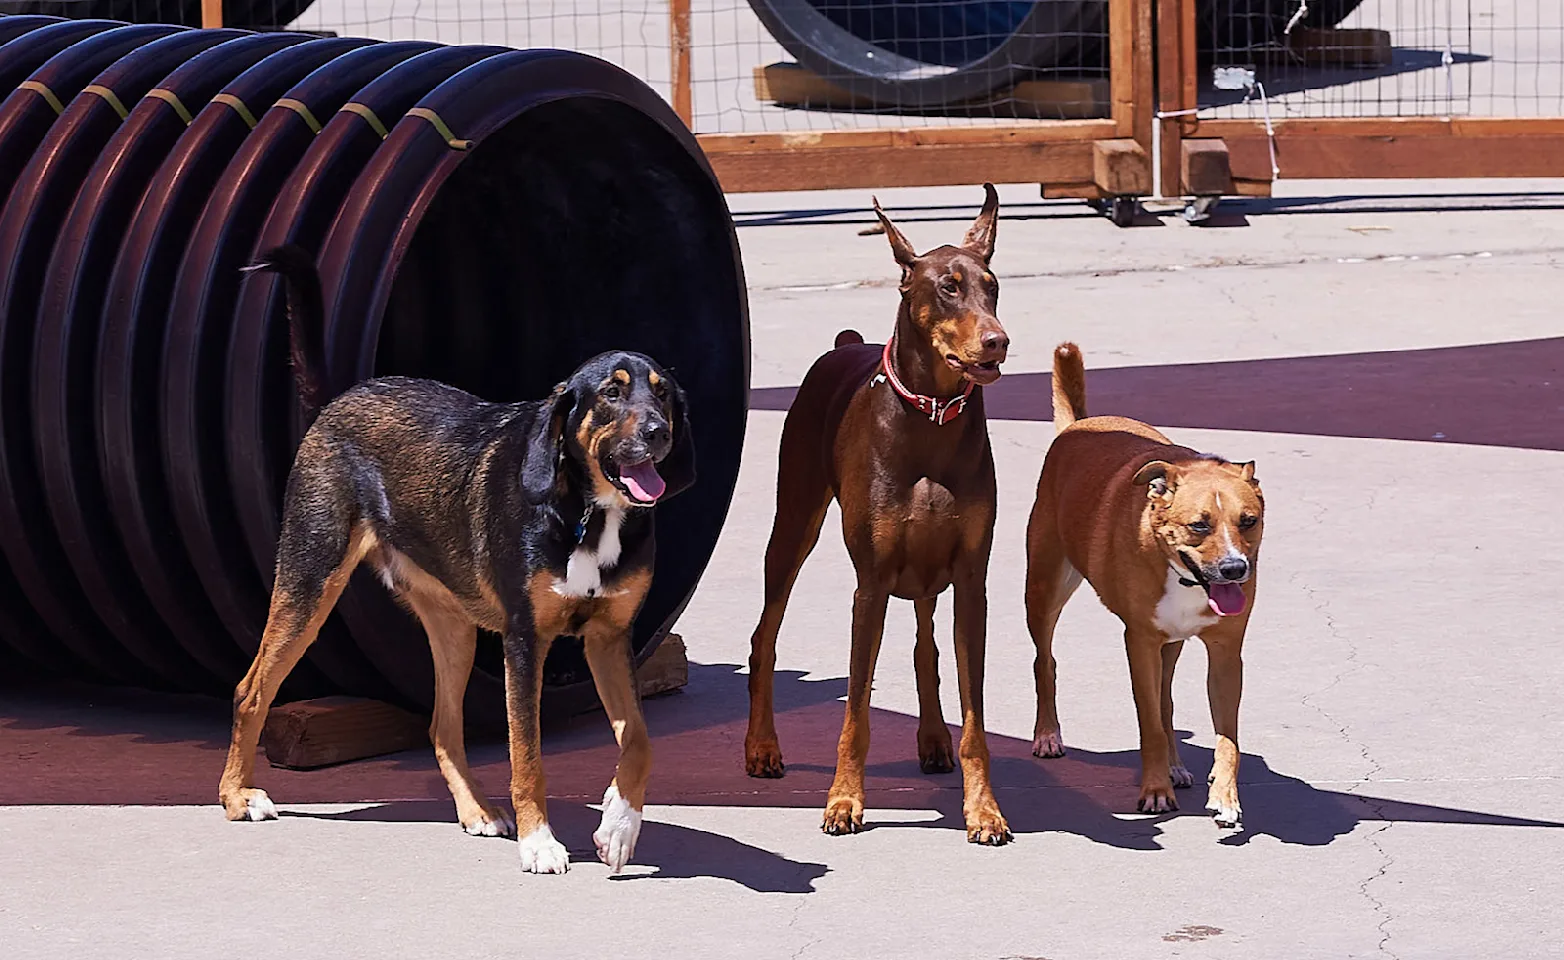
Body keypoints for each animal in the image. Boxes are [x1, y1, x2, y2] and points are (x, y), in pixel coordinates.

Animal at [1025, 343, 1257, 825]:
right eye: (1199, 526)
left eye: (1249, 521)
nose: (1234, 569)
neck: (1183, 578)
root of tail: (1077, 425)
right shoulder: (1140, 642)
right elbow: (1148, 722)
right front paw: (1155, 790)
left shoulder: (1226, 652)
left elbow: (1227, 735)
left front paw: (1225, 795)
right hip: (1044, 587)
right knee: (1045, 660)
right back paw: (1048, 734)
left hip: (1172, 642)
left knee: (1166, 699)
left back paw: (1176, 765)